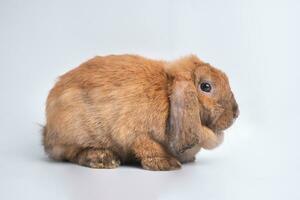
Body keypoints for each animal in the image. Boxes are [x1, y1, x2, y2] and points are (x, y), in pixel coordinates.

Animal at [42, 54, 239, 170]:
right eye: (206, 86)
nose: (236, 113)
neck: (167, 94)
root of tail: (47, 132)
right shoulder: (136, 134)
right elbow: (148, 147)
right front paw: (167, 164)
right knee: (72, 154)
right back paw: (104, 159)